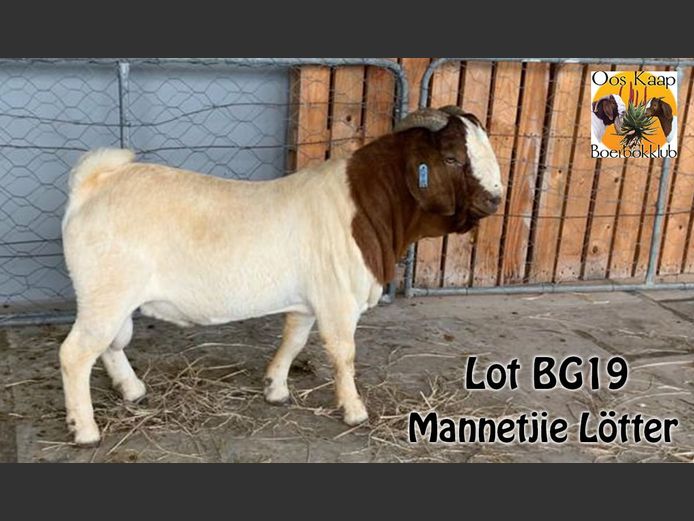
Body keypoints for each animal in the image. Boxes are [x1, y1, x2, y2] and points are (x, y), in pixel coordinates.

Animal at [59, 106, 503, 445]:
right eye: (452, 158)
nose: (495, 199)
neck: (364, 204)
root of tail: (95, 184)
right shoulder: (338, 299)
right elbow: (343, 354)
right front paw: (354, 410)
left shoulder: (310, 301)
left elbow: (294, 340)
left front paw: (276, 388)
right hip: (106, 295)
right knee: (75, 352)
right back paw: (85, 430)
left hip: (113, 300)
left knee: (109, 345)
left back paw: (132, 390)